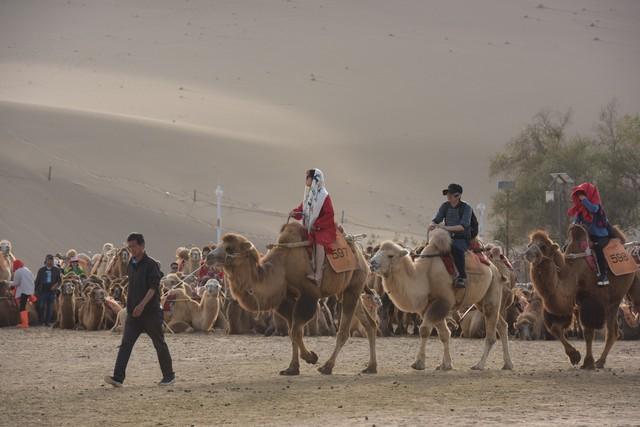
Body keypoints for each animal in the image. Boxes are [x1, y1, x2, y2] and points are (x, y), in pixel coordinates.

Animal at [205, 222, 376, 376]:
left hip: (354, 285)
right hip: (347, 291)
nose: (208, 256)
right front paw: (293, 368)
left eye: (230, 248)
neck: (281, 269)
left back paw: (327, 367)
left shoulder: (308, 296)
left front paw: (311, 357)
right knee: (369, 323)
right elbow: (292, 331)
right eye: (220, 245)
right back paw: (371, 367)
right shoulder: (285, 300)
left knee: (343, 331)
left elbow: (295, 331)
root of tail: (360, 254)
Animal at [370, 229, 510, 372]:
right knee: (502, 325)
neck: (424, 276)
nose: (372, 263)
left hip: (492, 291)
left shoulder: (442, 302)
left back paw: (479, 365)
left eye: (390, 255)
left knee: (491, 333)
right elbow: (444, 334)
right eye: (377, 251)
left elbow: (425, 330)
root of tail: (495, 270)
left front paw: (419, 363)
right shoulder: (429, 306)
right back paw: (507, 364)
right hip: (481, 301)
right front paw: (445, 365)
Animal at [528, 226, 636, 370]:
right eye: (529, 244)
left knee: (612, 332)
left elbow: (588, 333)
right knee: (615, 331)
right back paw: (600, 362)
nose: (528, 253)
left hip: (614, 300)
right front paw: (574, 356)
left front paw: (588, 363)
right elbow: (555, 328)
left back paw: (600, 362)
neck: (572, 274)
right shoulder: (569, 304)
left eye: (543, 246)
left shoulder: (590, 301)